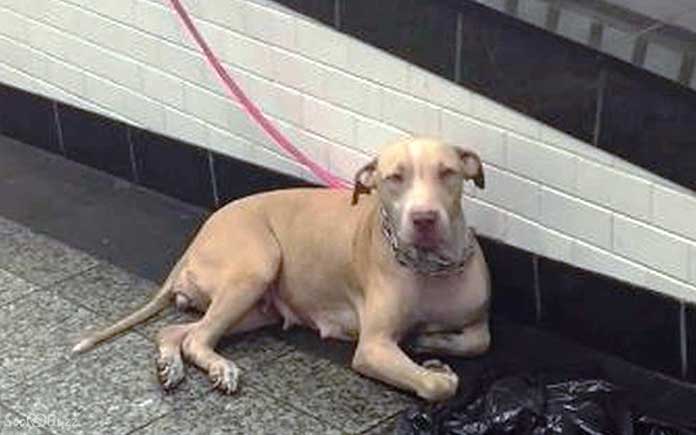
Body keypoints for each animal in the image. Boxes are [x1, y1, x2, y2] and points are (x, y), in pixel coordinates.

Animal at [75, 138, 490, 404]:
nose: (424, 219)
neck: (430, 268)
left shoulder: (476, 321)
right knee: (196, 337)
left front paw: (428, 345)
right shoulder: (372, 348)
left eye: (447, 172)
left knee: (179, 331)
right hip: (255, 268)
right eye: (394, 178)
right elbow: (438, 387)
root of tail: (199, 236)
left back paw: (171, 365)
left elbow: (478, 341)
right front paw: (435, 370)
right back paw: (219, 369)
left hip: (256, 310)